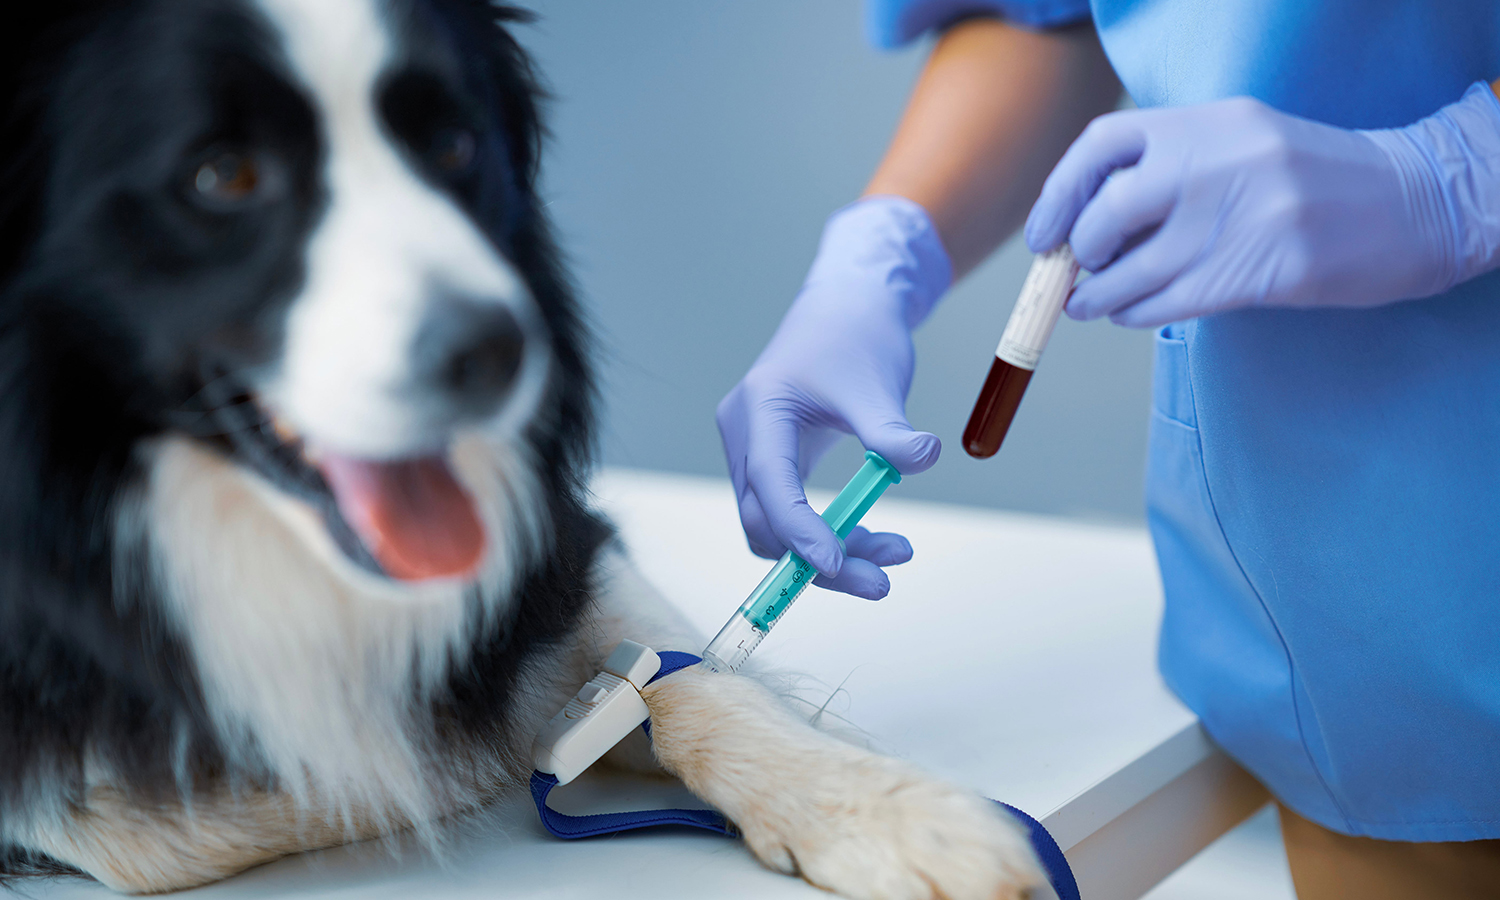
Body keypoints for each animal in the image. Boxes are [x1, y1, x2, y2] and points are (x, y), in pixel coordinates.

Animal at [0, 3, 1050, 894]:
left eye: (452, 147)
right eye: (224, 176)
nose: (502, 349)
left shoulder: (564, 548)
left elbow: (685, 673)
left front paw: (896, 816)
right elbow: (156, 825)